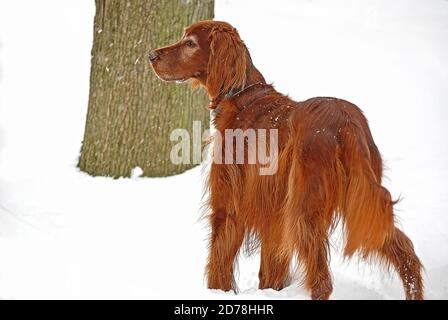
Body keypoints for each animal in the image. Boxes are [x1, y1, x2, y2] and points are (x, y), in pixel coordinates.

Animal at [150, 20, 424, 300]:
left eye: (190, 43)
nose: (151, 56)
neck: (239, 96)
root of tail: (346, 122)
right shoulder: (273, 214)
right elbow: (270, 270)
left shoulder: (228, 206)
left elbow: (219, 262)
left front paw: (216, 292)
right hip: (360, 199)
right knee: (404, 251)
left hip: (305, 210)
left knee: (322, 280)